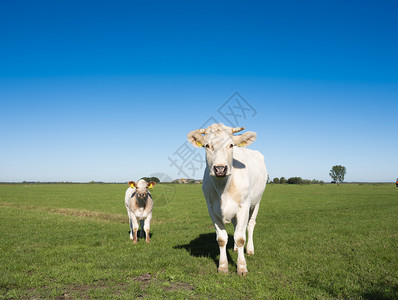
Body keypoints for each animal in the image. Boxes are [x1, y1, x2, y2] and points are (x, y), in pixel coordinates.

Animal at [187, 123, 268, 276]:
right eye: (207, 145)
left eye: (231, 145)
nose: (220, 169)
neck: (223, 189)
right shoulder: (212, 209)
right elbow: (222, 239)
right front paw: (223, 266)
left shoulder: (244, 206)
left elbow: (241, 238)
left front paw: (241, 268)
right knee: (237, 227)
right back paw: (235, 249)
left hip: (257, 202)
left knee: (250, 225)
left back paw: (249, 249)